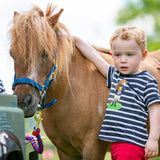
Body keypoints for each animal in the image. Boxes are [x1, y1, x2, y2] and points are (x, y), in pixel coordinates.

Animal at [9, 2, 159, 160]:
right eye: (12, 54)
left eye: (45, 54)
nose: (23, 102)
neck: (68, 95)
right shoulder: (65, 152)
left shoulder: (93, 149)